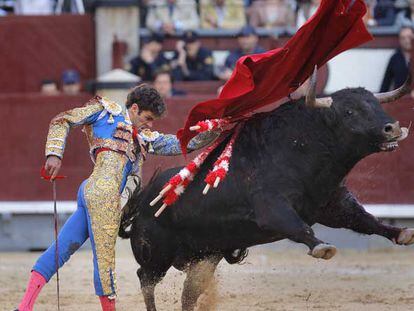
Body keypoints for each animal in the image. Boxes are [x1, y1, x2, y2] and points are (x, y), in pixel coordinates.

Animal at [119, 72, 414, 310]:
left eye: (376, 104)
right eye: (349, 112)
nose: (392, 128)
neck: (300, 150)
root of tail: (143, 202)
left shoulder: (332, 205)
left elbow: (366, 220)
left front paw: (401, 232)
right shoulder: (272, 210)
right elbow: (298, 227)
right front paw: (322, 247)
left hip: (206, 256)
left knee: (188, 294)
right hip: (156, 253)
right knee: (146, 279)